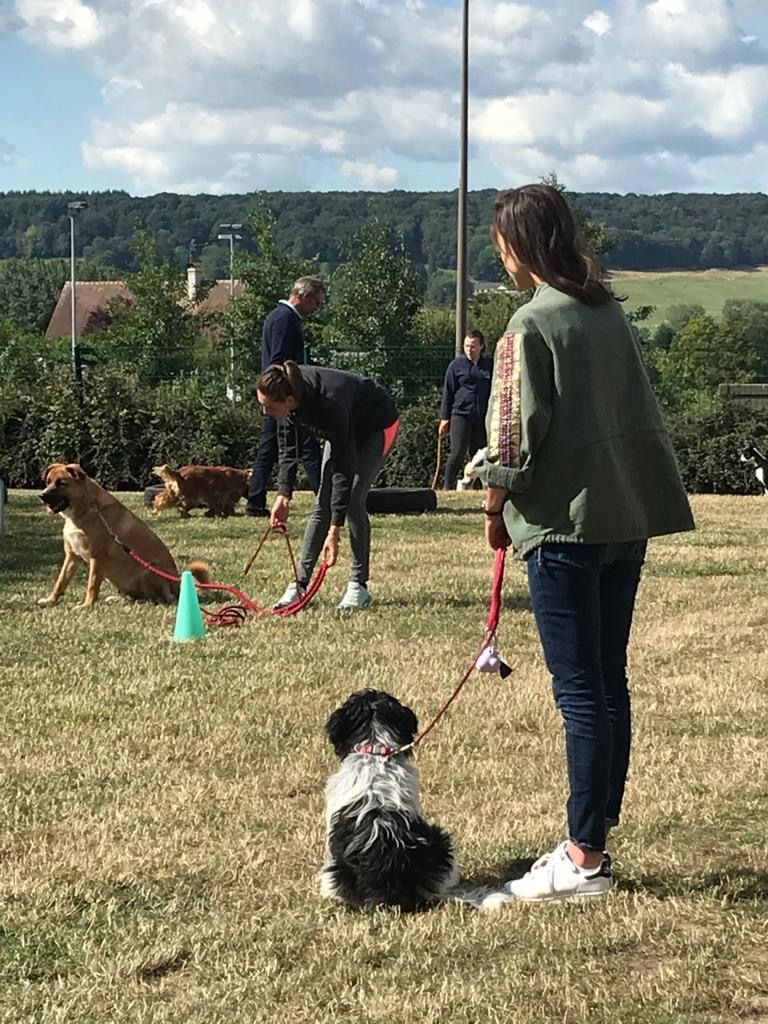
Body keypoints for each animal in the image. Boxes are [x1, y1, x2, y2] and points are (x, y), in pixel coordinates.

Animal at [38, 462, 210, 608]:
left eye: (62, 483)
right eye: (48, 482)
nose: (42, 495)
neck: (86, 509)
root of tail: (179, 585)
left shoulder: (97, 558)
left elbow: (92, 586)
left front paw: (86, 606)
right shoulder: (72, 556)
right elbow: (60, 582)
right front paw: (50, 600)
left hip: (148, 570)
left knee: (161, 599)